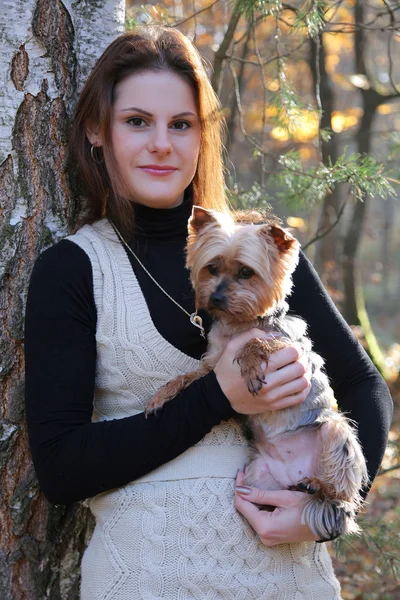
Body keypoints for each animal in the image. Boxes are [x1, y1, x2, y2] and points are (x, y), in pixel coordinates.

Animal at [146, 207, 368, 544]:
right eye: (212, 268)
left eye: (246, 272)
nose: (216, 298)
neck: (237, 323)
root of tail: (293, 474)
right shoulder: (212, 366)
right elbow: (188, 376)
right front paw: (162, 395)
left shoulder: (290, 348)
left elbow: (256, 342)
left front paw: (250, 366)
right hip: (256, 476)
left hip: (335, 432)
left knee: (340, 492)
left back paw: (320, 486)